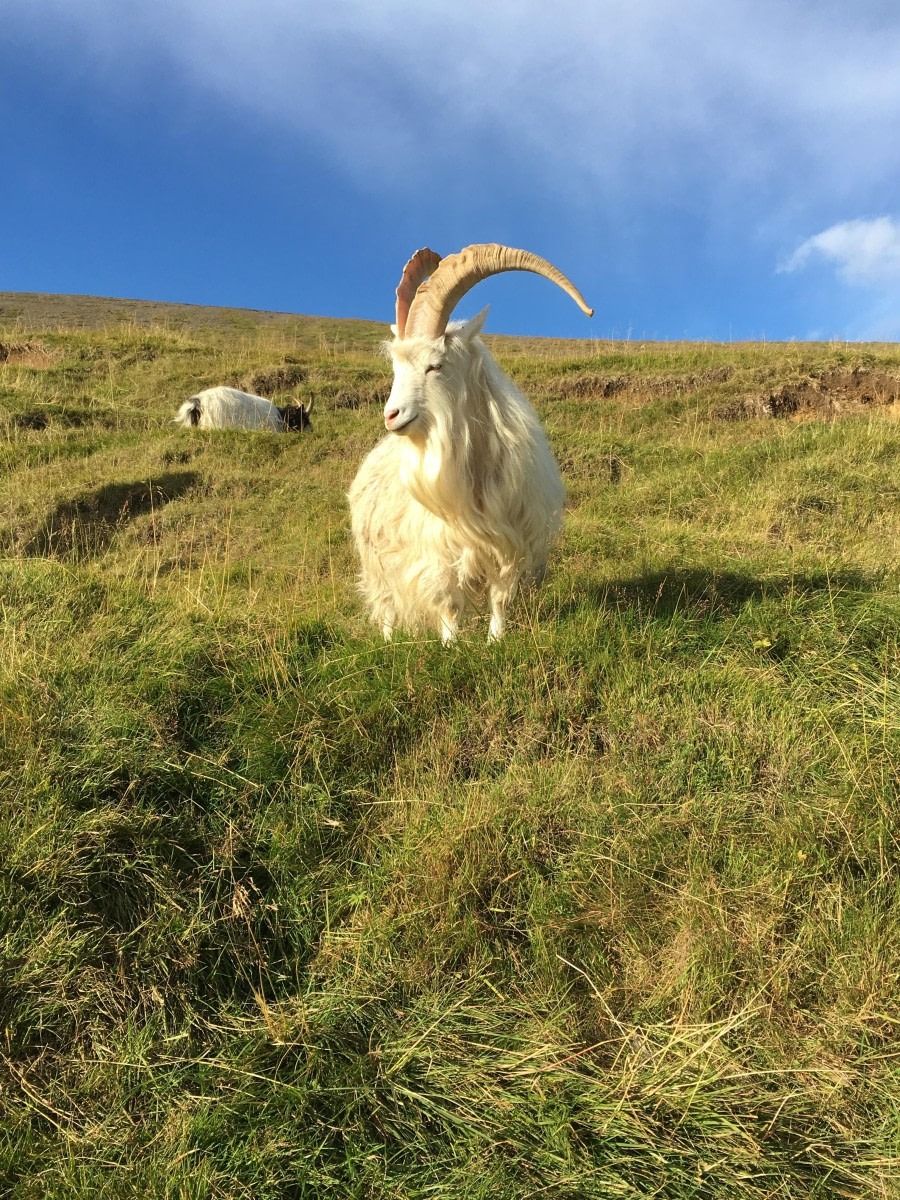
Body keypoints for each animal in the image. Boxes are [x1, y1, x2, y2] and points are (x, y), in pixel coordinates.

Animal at [348, 243, 592, 643]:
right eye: (397, 368)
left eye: (436, 364)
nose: (392, 415)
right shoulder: (439, 549)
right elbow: (449, 601)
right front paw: (451, 646)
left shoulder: (512, 537)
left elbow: (500, 596)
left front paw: (496, 641)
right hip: (377, 560)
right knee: (385, 603)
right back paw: (388, 641)